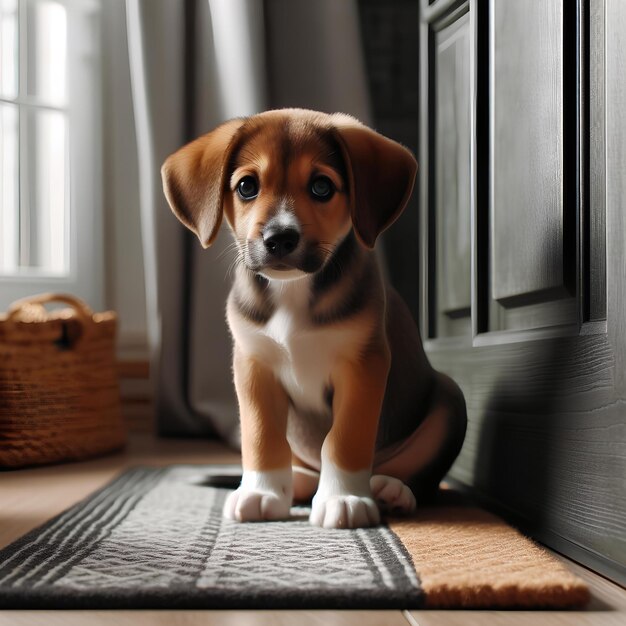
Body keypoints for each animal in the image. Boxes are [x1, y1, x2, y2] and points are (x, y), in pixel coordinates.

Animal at [161, 107, 464, 528]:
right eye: (246, 187)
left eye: (322, 186)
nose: (279, 239)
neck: (292, 291)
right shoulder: (253, 366)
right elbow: (262, 439)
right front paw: (263, 492)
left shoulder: (363, 365)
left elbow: (344, 440)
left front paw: (345, 499)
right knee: (303, 467)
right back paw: (299, 485)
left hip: (450, 398)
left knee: (422, 478)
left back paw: (390, 490)